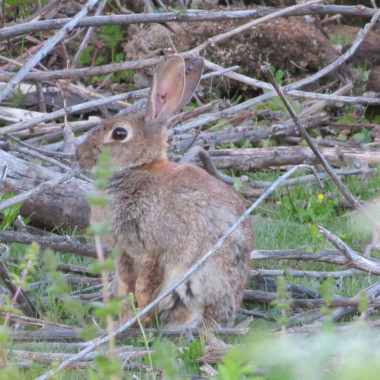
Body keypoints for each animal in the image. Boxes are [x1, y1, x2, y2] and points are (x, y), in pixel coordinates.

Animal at [75, 55, 254, 330]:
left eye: (119, 133)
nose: (79, 156)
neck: (139, 168)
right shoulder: (124, 254)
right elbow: (126, 288)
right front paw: (124, 320)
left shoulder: (155, 252)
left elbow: (144, 288)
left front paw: (136, 320)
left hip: (191, 280)